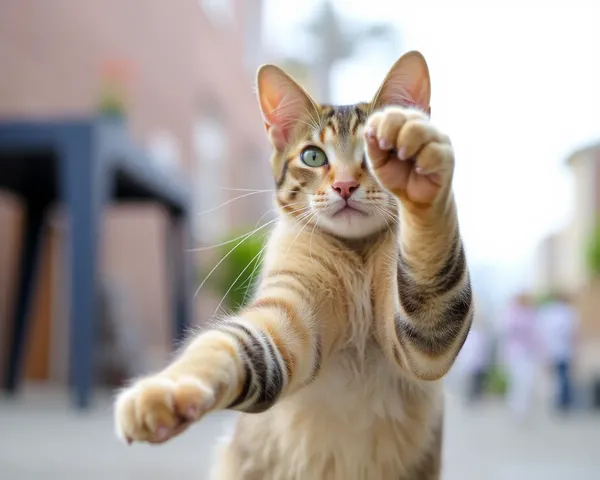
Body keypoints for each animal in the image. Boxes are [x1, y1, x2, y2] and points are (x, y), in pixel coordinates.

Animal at [113, 50, 474, 478]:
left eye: (371, 156)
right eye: (313, 156)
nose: (345, 186)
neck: (355, 257)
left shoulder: (426, 337)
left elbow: (430, 259)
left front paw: (416, 168)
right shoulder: (286, 316)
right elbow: (227, 344)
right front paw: (163, 392)